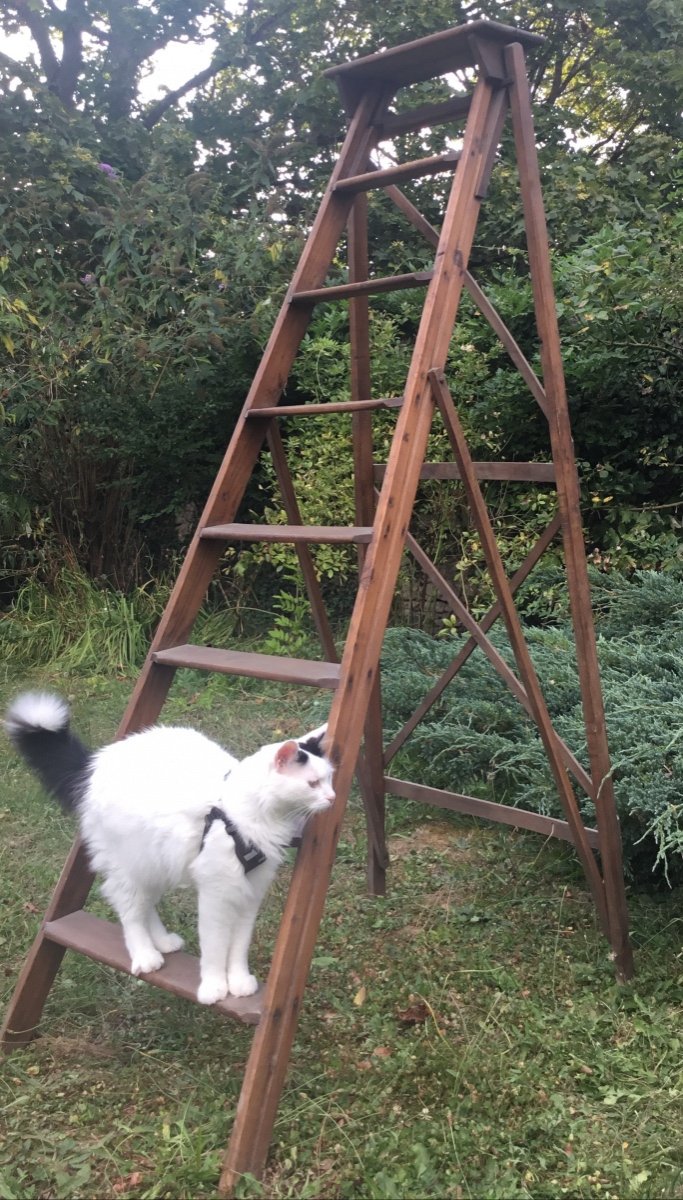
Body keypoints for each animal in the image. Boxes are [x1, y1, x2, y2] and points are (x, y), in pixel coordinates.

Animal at [4, 696, 336, 1003]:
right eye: (313, 783)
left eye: (329, 779)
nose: (332, 798)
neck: (240, 813)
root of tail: (96, 763)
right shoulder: (216, 895)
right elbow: (216, 947)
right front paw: (215, 987)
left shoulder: (250, 894)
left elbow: (238, 947)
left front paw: (239, 982)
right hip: (130, 866)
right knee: (128, 909)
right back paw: (146, 955)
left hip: (157, 864)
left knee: (145, 905)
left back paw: (162, 942)